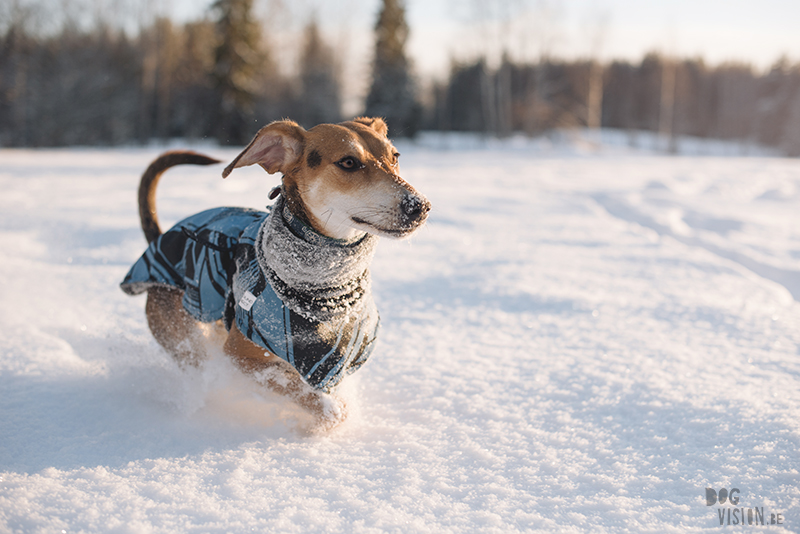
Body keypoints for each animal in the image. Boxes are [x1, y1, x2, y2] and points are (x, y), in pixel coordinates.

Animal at [119, 118, 428, 432]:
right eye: (349, 162)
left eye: (395, 156)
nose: (419, 206)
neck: (326, 291)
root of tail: (159, 238)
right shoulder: (241, 356)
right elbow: (320, 403)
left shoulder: (337, 357)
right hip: (187, 336)